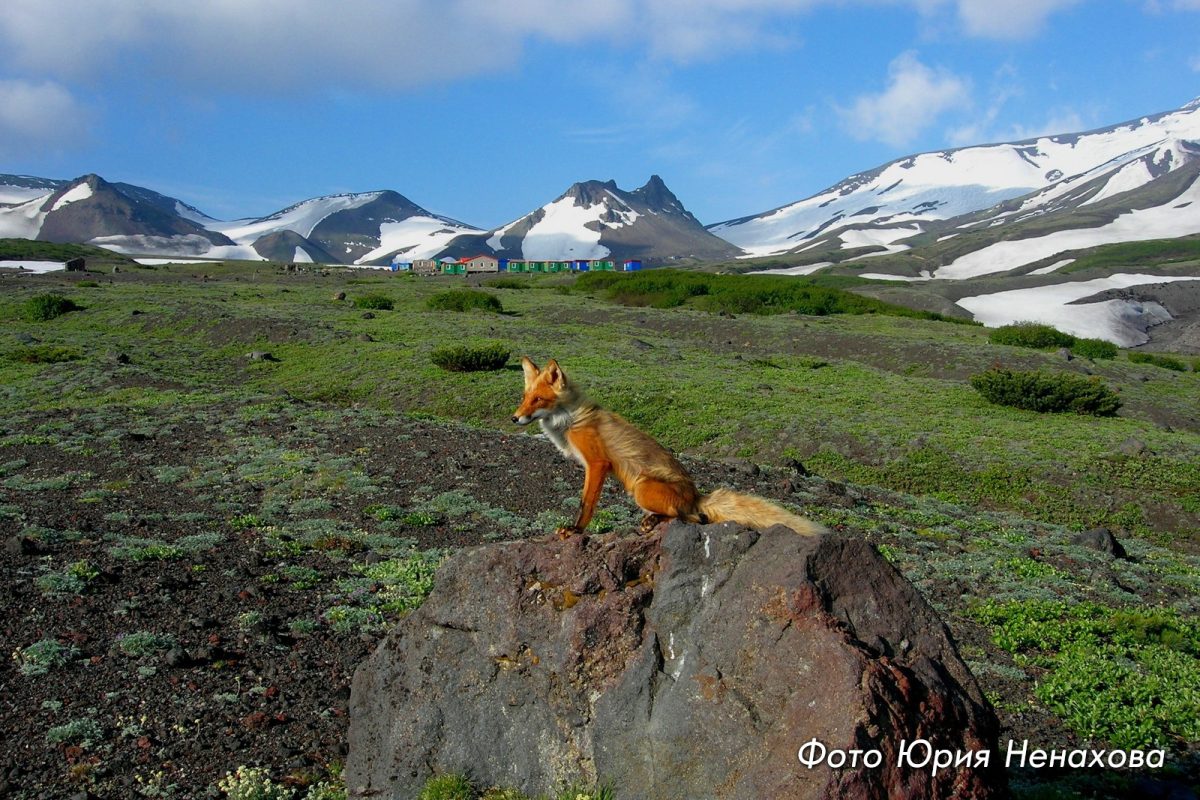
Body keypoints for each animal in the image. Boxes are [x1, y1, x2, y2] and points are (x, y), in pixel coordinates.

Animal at [506, 362, 825, 537]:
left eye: (538, 400)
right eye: (524, 397)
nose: (514, 418)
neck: (570, 420)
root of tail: (696, 495)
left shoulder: (597, 464)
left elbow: (586, 505)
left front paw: (575, 530)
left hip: (642, 487)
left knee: (693, 518)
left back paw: (653, 522)